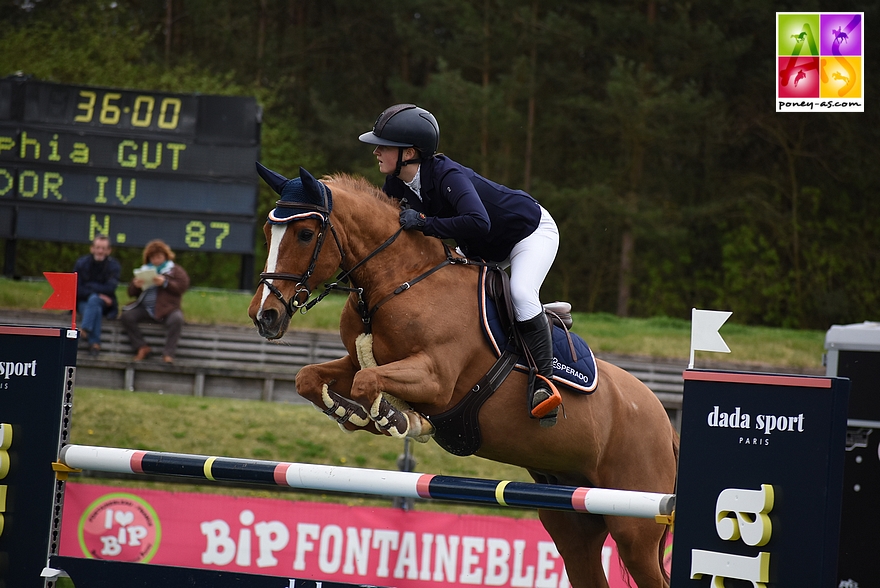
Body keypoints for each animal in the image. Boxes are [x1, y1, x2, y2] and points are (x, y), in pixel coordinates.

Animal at [248, 167, 680, 588]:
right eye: (269, 232)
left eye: (305, 234)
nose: (264, 315)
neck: (399, 281)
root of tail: (665, 424)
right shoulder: (357, 361)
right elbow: (312, 378)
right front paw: (353, 415)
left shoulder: (437, 379)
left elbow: (368, 384)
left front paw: (401, 420)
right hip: (571, 518)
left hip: (633, 528)